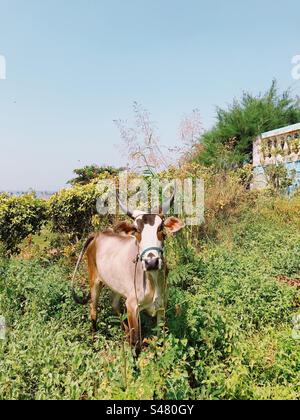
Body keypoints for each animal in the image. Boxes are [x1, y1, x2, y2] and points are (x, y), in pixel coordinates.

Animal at [72, 192, 185, 352]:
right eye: (136, 230)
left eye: (160, 228)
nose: (151, 262)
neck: (152, 280)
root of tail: (98, 234)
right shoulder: (132, 306)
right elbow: (136, 344)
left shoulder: (161, 306)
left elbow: (160, 340)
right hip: (94, 282)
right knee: (93, 310)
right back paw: (94, 341)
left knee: (114, 305)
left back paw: (124, 333)